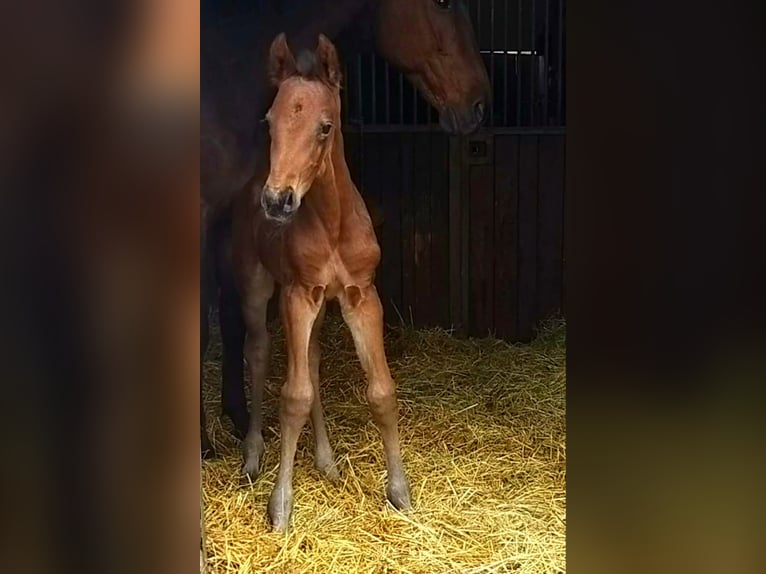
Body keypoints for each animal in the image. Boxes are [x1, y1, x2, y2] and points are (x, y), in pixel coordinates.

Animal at [202, 0, 492, 456]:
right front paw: (204, 443)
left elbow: (230, 317)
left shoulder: (226, 215)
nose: (480, 101)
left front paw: (239, 418)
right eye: (443, 3)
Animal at [232, 35, 414, 532]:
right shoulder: (298, 295)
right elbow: (293, 396)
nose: (278, 200)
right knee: (258, 351)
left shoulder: (361, 296)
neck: (333, 223)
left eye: (325, 127)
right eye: (269, 122)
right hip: (256, 285)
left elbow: (381, 391)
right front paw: (280, 507)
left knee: (311, 361)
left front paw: (400, 493)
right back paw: (252, 457)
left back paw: (326, 461)